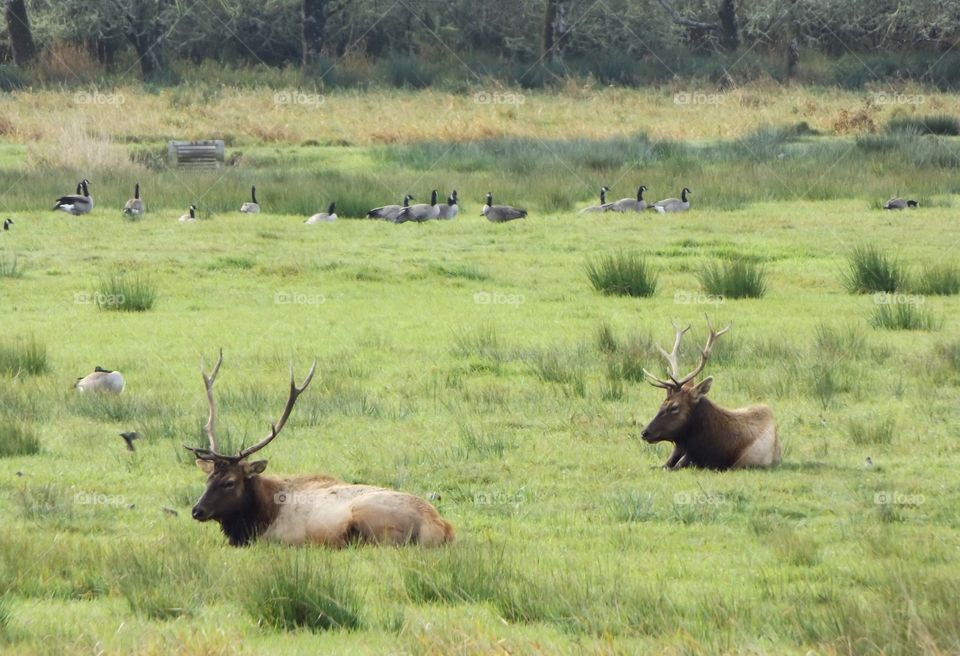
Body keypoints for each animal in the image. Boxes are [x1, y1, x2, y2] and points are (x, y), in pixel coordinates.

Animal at [185, 351, 455, 547]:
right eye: (208, 478)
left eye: (229, 482)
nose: (197, 510)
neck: (262, 514)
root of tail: (441, 526)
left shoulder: (282, 539)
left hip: (371, 516)